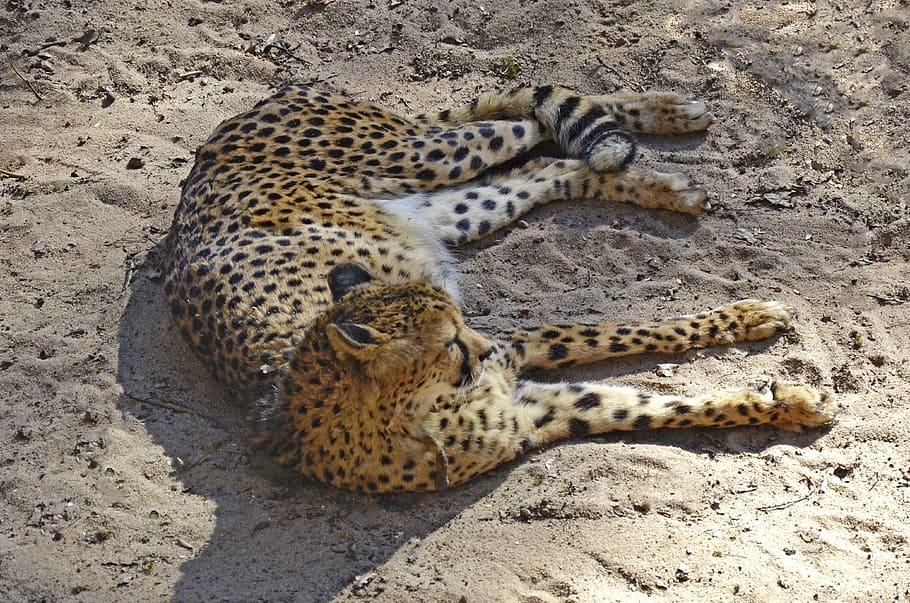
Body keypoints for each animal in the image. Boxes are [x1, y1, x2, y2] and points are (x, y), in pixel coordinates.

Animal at [163, 83, 836, 493]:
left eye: (460, 328)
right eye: (448, 343)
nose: (484, 348)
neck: (423, 409)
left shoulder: (522, 350)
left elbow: (617, 331)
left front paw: (749, 327)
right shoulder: (550, 411)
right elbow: (661, 404)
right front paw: (786, 400)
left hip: (424, 155)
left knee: (524, 111)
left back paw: (666, 113)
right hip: (449, 205)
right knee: (551, 163)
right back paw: (662, 183)